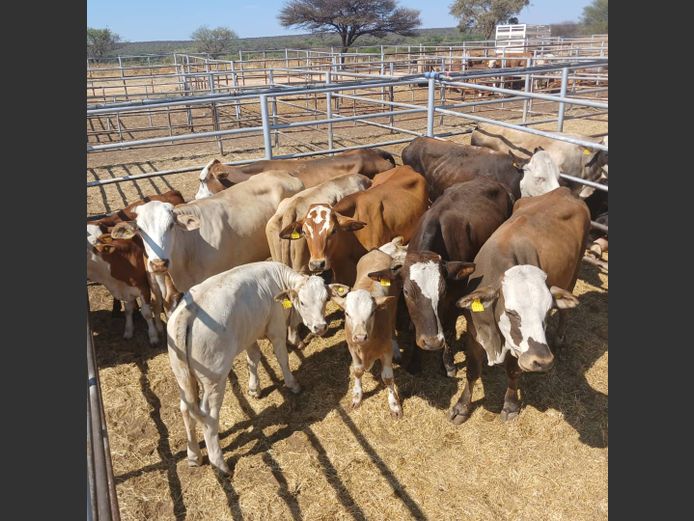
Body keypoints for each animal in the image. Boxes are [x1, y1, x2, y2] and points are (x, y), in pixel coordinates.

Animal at [166, 261, 341, 474]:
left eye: (325, 299)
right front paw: (293, 384)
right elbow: (282, 358)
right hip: (214, 379)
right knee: (208, 418)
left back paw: (193, 455)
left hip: (183, 375)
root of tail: (187, 313)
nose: (320, 327)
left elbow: (253, 359)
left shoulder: (251, 333)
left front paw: (254, 388)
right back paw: (220, 464)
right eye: (302, 302)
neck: (278, 280)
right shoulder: (276, 329)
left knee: (185, 408)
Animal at [329, 247, 403, 418]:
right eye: (347, 313)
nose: (360, 337)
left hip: (395, 306)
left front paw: (394, 404)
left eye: (372, 313)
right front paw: (357, 396)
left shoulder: (386, 351)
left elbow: (388, 378)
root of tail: (376, 251)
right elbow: (357, 371)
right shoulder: (352, 347)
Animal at [370, 177, 513, 377]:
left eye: (443, 291)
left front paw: (448, 363)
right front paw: (415, 362)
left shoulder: (455, 298)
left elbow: (448, 329)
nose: (432, 343)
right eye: (405, 291)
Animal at [450, 187, 590, 424]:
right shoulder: (474, 332)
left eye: (546, 312)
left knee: (565, 313)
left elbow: (513, 372)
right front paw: (461, 407)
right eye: (510, 312)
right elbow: (472, 371)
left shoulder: (517, 351)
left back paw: (560, 338)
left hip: (575, 271)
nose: (542, 360)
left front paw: (510, 405)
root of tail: (565, 191)